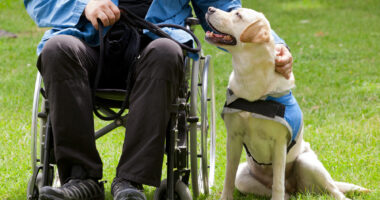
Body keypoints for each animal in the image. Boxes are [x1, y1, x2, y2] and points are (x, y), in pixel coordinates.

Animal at [206, 7, 370, 199]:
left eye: (238, 15)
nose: (210, 9)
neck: (251, 80)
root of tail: (295, 188)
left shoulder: (278, 143)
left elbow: (278, 183)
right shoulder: (233, 137)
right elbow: (228, 177)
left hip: (307, 162)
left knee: (334, 192)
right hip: (243, 177)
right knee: (282, 192)